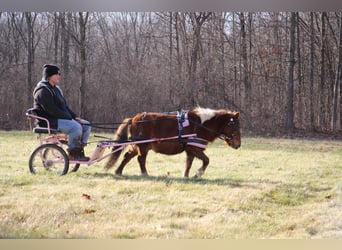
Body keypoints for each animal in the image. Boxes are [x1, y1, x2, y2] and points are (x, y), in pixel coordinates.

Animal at [104, 107, 240, 178]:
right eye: (234, 126)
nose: (238, 144)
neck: (200, 125)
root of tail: (133, 119)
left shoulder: (190, 150)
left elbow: (189, 164)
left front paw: (186, 176)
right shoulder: (193, 148)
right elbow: (206, 160)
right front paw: (198, 173)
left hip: (139, 145)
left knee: (127, 156)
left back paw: (118, 171)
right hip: (142, 146)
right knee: (140, 159)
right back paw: (145, 174)